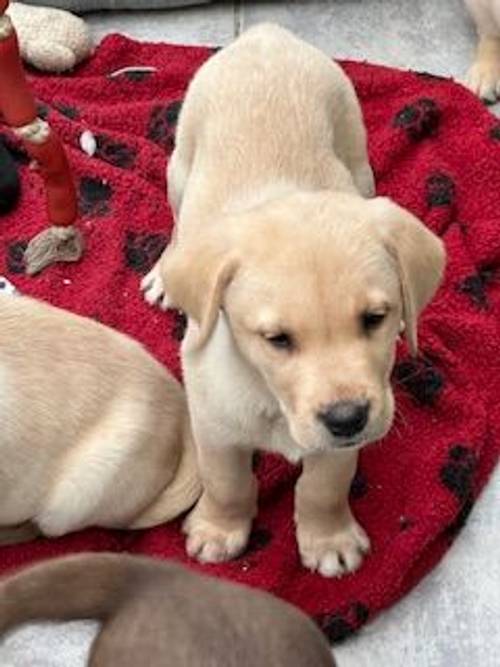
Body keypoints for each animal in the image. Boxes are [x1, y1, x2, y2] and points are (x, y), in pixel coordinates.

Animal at [142, 24, 446, 580]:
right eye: (277, 339)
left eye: (375, 318)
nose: (347, 417)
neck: (271, 398)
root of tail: (266, 35)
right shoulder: (214, 427)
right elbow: (226, 482)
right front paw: (218, 530)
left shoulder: (340, 445)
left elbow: (323, 486)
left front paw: (329, 540)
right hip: (181, 167)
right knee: (176, 227)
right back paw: (163, 275)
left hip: (358, 158)